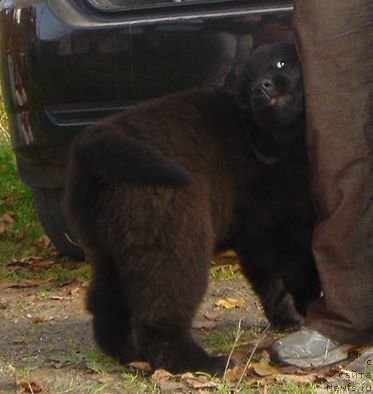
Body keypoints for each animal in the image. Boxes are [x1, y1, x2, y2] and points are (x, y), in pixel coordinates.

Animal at [64, 41, 320, 374]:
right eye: (250, 80)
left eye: (281, 63)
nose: (259, 88)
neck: (259, 132)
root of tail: (94, 143)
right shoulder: (280, 226)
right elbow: (299, 270)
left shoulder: (254, 234)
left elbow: (269, 280)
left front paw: (287, 318)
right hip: (175, 243)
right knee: (160, 316)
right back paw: (203, 363)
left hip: (108, 246)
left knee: (105, 303)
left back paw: (126, 352)